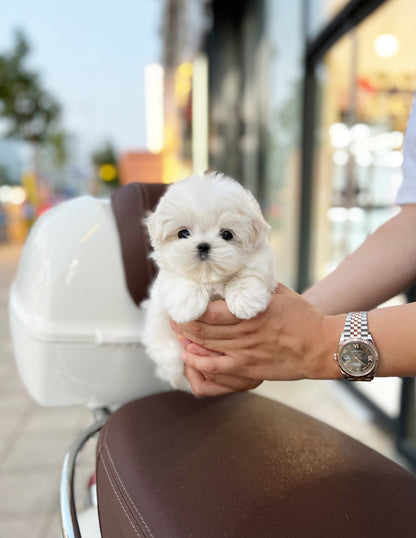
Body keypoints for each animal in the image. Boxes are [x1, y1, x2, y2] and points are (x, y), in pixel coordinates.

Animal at [141, 172, 276, 390]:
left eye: (227, 234)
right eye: (183, 233)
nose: (203, 245)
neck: (210, 276)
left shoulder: (261, 262)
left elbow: (248, 274)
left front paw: (245, 301)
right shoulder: (169, 275)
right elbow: (180, 280)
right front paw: (187, 304)